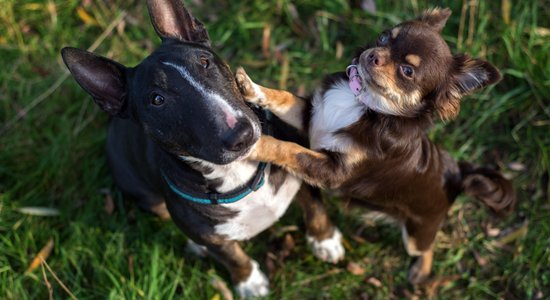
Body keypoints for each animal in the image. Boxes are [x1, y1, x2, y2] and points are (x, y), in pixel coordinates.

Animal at [62, 0, 342, 298]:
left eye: (205, 62)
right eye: (157, 99)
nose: (241, 134)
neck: (238, 174)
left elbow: (314, 205)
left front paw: (325, 241)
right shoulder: (210, 236)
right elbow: (232, 256)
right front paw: (249, 283)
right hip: (144, 194)